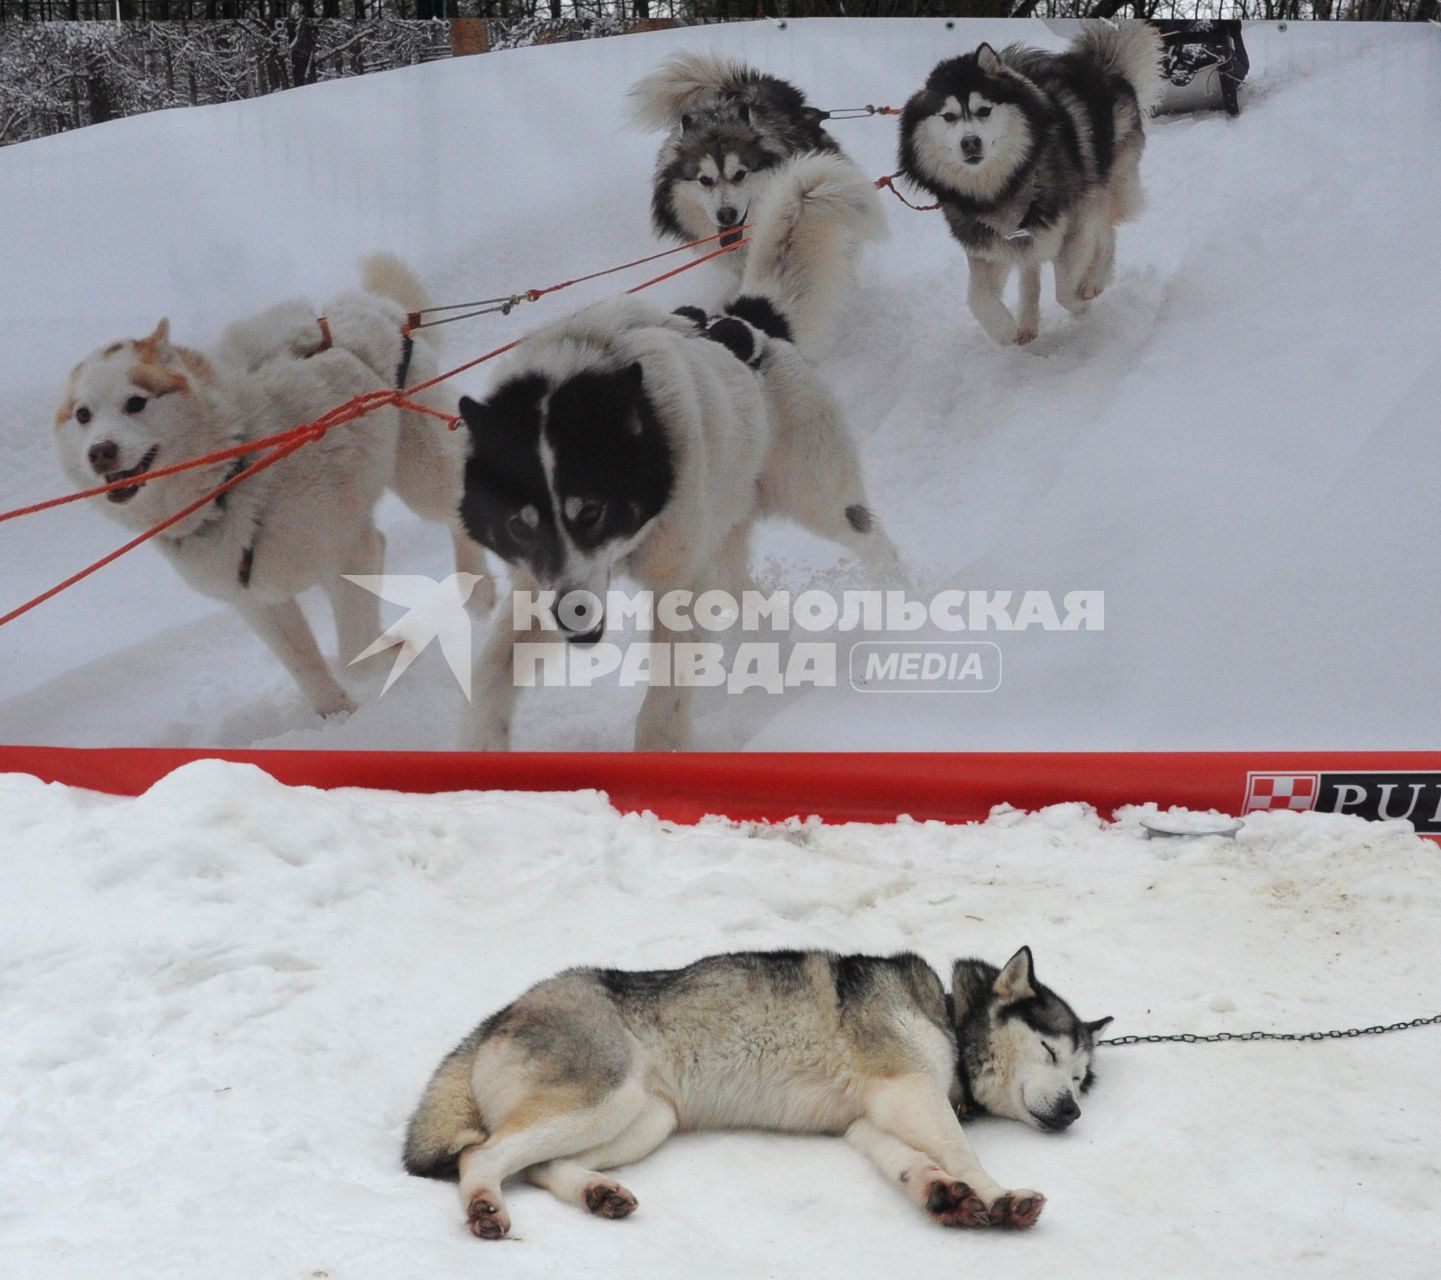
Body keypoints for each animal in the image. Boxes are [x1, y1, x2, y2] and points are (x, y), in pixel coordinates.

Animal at [53, 258, 492, 720]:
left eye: (136, 402)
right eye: (83, 414)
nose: (100, 452)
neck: (234, 475)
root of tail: (371, 305)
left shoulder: (349, 551)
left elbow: (354, 656)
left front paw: (393, 653)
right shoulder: (257, 602)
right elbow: (306, 667)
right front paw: (337, 717)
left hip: (423, 475)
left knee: (457, 510)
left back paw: (478, 588)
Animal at [406, 945, 1112, 1233]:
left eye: (1081, 1077)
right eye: (1051, 1053)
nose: (1073, 1111)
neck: (945, 1013)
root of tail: (505, 1013)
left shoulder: (868, 1121)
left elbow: (910, 1164)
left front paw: (941, 1195)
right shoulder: (908, 1087)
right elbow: (964, 1152)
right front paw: (998, 1197)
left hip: (644, 1120)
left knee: (539, 1165)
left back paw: (597, 1193)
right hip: (604, 1098)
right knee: (483, 1155)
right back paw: (485, 1208)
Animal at [449, 152, 899, 749]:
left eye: (591, 512)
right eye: (520, 526)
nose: (574, 619)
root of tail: (751, 320)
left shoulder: (678, 584)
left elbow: (663, 706)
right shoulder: (538, 586)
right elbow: (490, 681)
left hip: (820, 498)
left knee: (875, 545)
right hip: (725, 540)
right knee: (752, 602)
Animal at [893, 25, 1164, 344]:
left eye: (984, 110)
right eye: (948, 116)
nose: (970, 142)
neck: (1004, 186)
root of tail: (1100, 66)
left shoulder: (1076, 222)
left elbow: (1064, 290)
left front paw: (1081, 304)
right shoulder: (988, 243)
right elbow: (977, 298)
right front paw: (1004, 330)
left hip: (1108, 182)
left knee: (1107, 231)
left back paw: (1094, 280)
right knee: (1032, 269)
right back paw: (1027, 322)